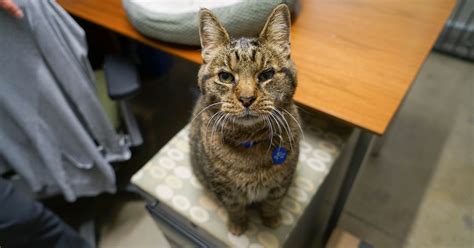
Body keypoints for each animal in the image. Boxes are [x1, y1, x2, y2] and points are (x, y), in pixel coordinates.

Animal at [189, 4, 300, 236]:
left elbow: (273, 203)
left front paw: (271, 219)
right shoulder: (225, 190)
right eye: (225, 77)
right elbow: (235, 207)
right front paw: (238, 224)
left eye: (267, 74)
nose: (247, 99)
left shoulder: (283, 182)